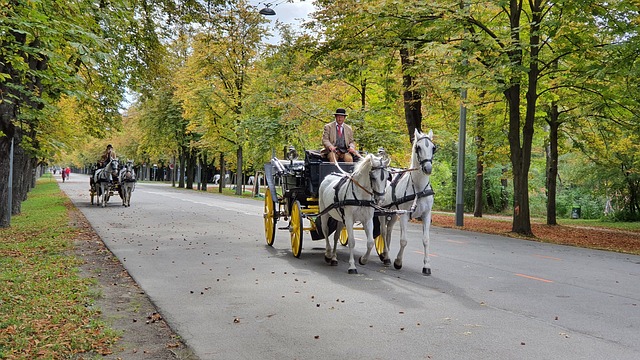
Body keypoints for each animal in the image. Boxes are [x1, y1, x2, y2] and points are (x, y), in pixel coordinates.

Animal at [380, 129, 436, 276]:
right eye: (418, 147)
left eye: (433, 148)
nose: (428, 168)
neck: (418, 189)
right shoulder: (404, 214)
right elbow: (404, 240)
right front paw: (398, 262)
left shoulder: (426, 214)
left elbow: (426, 240)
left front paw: (427, 266)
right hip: (381, 212)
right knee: (383, 231)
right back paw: (386, 257)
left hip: (393, 213)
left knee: (389, 231)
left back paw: (385, 255)